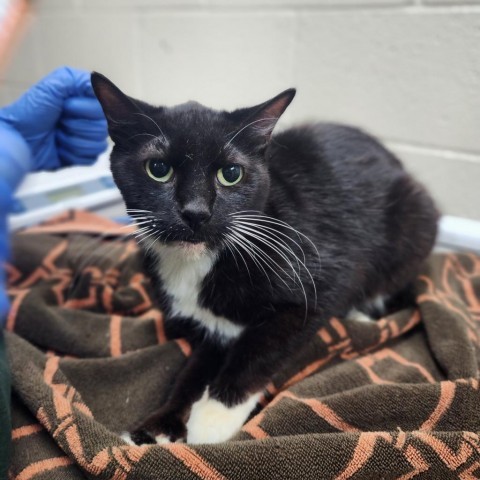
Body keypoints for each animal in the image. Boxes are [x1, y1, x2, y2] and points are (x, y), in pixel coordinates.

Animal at [91, 72, 438, 446]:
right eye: (158, 168)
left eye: (231, 173)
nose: (196, 212)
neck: (201, 262)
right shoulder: (210, 326)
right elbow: (193, 371)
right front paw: (156, 428)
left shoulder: (315, 283)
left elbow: (259, 350)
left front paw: (213, 418)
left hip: (415, 218)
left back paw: (361, 311)